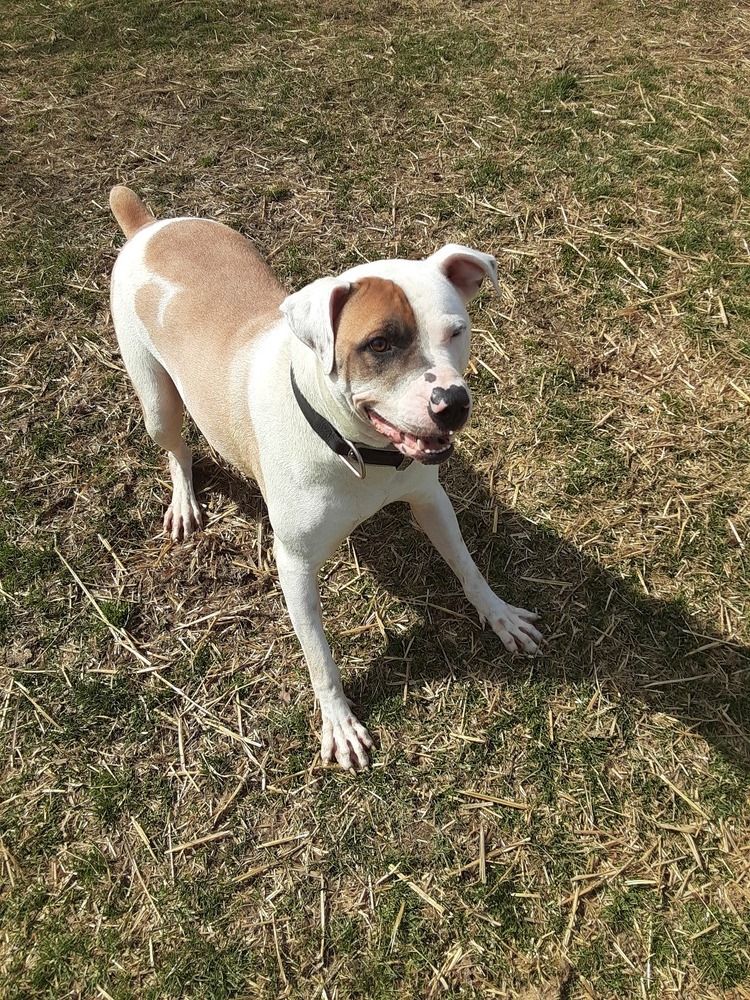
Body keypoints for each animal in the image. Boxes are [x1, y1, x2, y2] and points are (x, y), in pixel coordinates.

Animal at [108, 186, 544, 764]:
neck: (355, 451)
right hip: (156, 399)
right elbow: (319, 654)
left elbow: (468, 567)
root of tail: (147, 226)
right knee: (175, 447)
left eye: (457, 331)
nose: (453, 403)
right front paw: (338, 721)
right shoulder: (294, 563)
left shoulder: (430, 500)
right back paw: (183, 500)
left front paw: (499, 616)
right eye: (379, 344)